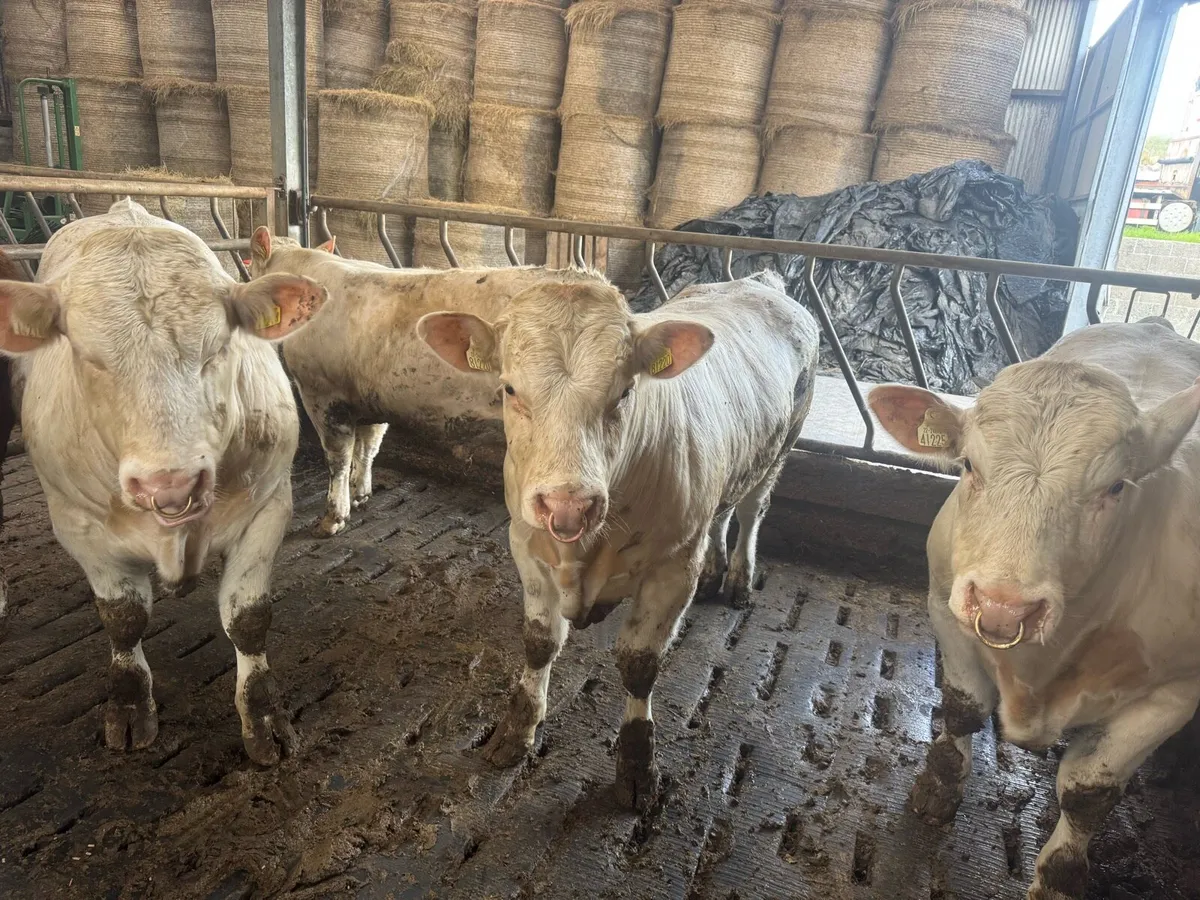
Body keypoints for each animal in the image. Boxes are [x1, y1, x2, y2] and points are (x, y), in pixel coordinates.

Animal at [0, 199, 327, 764]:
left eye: (218, 348)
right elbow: (124, 618)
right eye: (87, 357)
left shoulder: (268, 508)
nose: (170, 483)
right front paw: (131, 705)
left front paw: (264, 717)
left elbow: (248, 619)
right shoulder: (78, 525)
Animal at [248, 226, 606, 536]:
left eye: (249, 266)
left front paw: (333, 518)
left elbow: (338, 459)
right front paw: (360, 493)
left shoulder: (322, 393)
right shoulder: (369, 397)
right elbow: (368, 448)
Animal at [418, 272, 819, 810]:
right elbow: (540, 644)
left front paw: (636, 766)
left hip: (782, 446)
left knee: (752, 510)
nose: (567, 504)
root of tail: (760, 281)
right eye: (509, 388)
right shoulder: (526, 543)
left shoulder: (673, 567)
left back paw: (737, 578)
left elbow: (638, 665)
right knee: (722, 512)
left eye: (625, 392)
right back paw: (715, 571)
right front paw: (517, 731)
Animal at [868, 320, 1200, 900]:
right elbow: (962, 708)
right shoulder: (945, 608)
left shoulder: (1176, 691)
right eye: (968, 465)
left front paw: (1059, 877)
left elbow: (1088, 794)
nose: (1004, 604)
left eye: (1115, 487)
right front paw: (938, 785)